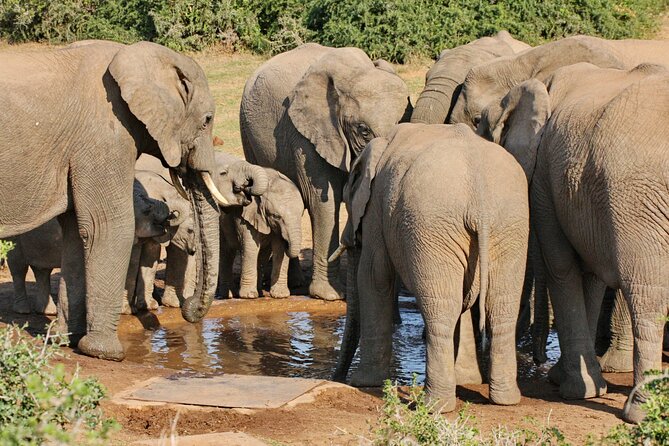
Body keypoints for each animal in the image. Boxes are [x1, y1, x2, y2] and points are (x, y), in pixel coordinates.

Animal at [7, 180, 173, 316]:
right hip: (14, 237)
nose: (171, 214)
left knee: (42, 270)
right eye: (147, 210)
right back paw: (23, 310)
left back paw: (48, 312)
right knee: (18, 267)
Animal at [218, 165, 304, 299]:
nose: (242, 187)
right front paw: (248, 296)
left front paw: (280, 295)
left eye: (301, 214)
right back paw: (228, 295)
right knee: (226, 253)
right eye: (276, 216)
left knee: (262, 255)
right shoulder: (245, 217)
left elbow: (279, 249)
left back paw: (258, 292)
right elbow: (250, 247)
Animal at [240, 43, 411, 301]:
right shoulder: (305, 135)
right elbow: (324, 201)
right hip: (247, 132)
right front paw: (329, 295)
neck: (353, 73)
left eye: (404, 120)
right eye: (363, 130)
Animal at [332, 123, 529, 412]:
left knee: (441, 309)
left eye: (347, 197)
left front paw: (363, 382)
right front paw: (468, 380)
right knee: (500, 306)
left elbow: (374, 276)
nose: (336, 377)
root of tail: (479, 195)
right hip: (509, 225)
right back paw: (505, 399)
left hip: (432, 225)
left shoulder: (376, 205)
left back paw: (434, 405)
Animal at [476, 62, 669, 423]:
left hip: (638, 197)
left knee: (647, 295)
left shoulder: (544, 177)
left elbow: (562, 267)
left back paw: (640, 413)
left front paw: (576, 390)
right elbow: (589, 274)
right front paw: (576, 380)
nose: (537, 361)